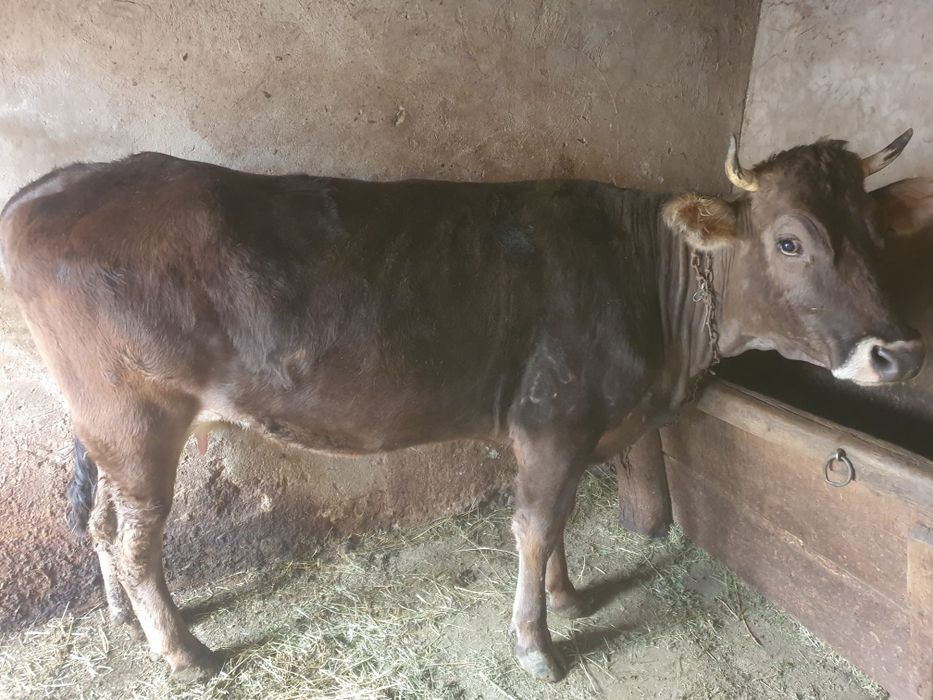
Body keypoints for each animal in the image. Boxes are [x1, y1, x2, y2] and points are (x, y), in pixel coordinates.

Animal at [1, 131, 930, 683]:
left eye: (875, 233)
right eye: (789, 240)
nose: (895, 351)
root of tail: (58, 182)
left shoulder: (561, 428)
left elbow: (554, 525)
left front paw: (567, 598)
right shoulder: (554, 417)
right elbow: (534, 526)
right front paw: (537, 643)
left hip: (104, 427)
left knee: (99, 525)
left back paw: (125, 621)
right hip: (135, 420)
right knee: (136, 539)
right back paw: (183, 652)